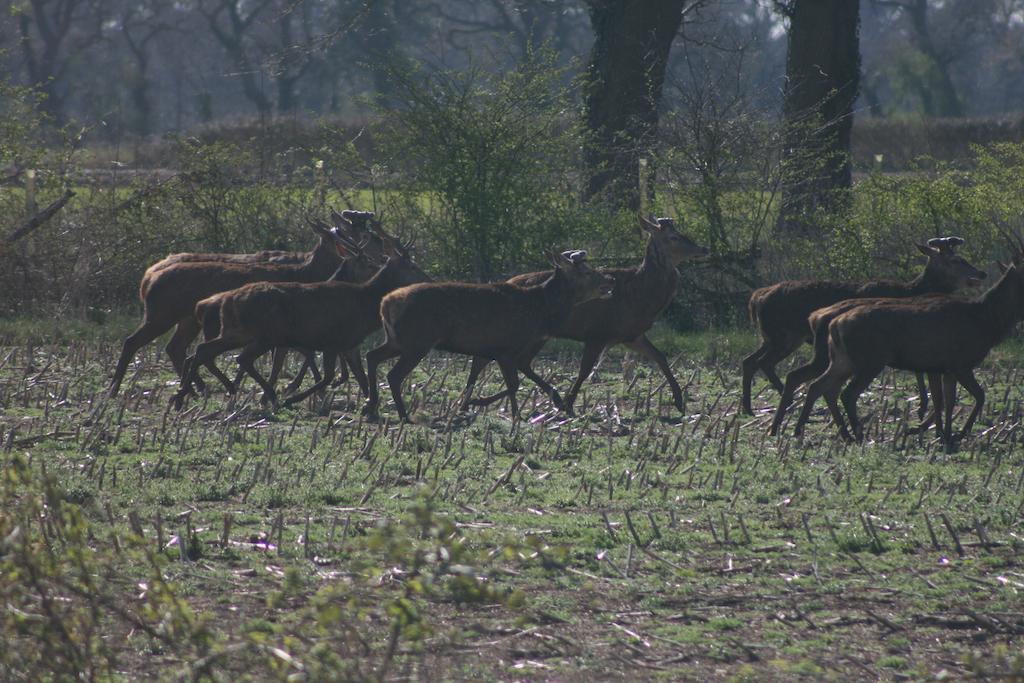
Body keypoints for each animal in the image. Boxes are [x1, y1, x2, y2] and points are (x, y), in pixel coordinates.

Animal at [174, 233, 430, 411]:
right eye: (412, 265)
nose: (429, 278)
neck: (365, 306)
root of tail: (228, 300)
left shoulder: (349, 343)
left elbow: (360, 375)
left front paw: (369, 405)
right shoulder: (333, 339)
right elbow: (328, 377)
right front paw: (294, 398)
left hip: (238, 331)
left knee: (205, 350)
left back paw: (182, 396)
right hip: (265, 334)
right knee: (237, 357)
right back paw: (268, 396)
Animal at [362, 250, 610, 421]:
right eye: (587, 271)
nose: (610, 282)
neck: (540, 311)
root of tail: (386, 303)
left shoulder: (494, 351)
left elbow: (506, 383)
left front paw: (513, 414)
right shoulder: (506, 350)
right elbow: (514, 384)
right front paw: (483, 404)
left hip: (397, 340)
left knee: (371, 356)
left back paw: (371, 407)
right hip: (417, 342)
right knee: (393, 374)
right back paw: (403, 415)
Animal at [456, 216, 704, 413]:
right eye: (673, 237)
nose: (704, 249)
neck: (640, 297)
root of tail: (508, 281)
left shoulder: (631, 335)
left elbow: (661, 357)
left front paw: (679, 401)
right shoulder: (597, 333)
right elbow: (584, 371)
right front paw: (569, 403)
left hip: (534, 335)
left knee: (512, 360)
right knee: (498, 359)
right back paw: (473, 402)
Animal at [745, 235, 983, 417]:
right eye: (955, 260)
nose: (981, 274)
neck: (912, 291)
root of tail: (756, 298)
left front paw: (923, 406)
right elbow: (917, 372)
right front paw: (922, 406)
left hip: (770, 337)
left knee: (750, 361)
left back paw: (751, 408)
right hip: (784, 336)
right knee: (764, 363)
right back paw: (785, 402)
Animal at [798, 253, 1024, 446]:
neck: (988, 323)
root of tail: (834, 324)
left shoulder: (946, 367)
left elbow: (948, 400)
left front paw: (945, 434)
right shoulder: (960, 363)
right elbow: (979, 396)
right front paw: (959, 434)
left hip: (843, 360)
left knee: (820, 386)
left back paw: (810, 431)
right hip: (869, 360)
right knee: (846, 393)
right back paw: (859, 435)